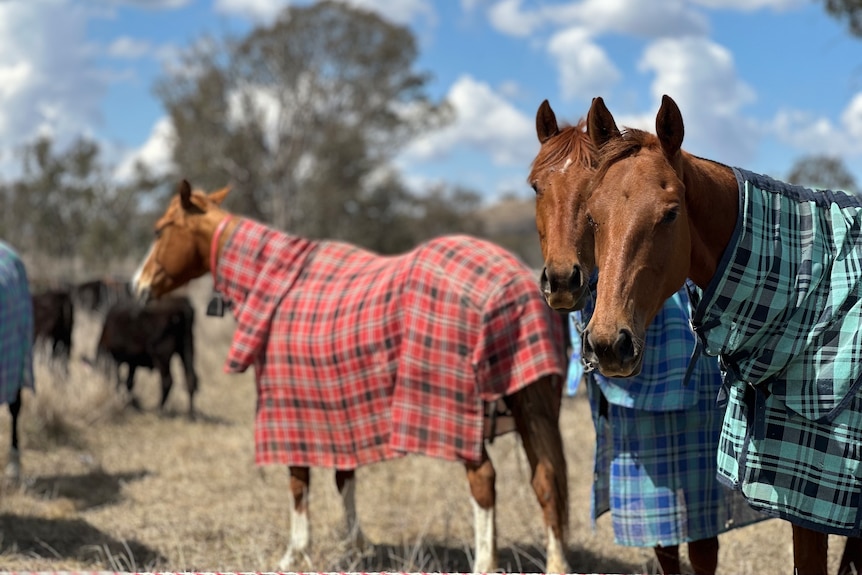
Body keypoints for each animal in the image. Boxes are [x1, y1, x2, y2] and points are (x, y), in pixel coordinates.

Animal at [130, 181, 572, 575]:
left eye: (159, 230)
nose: (138, 286)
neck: (273, 285)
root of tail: (516, 285)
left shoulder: (290, 417)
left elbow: (298, 484)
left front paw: (294, 553)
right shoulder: (339, 419)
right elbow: (346, 478)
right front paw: (355, 543)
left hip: (458, 415)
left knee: (484, 482)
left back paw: (484, 563)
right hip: (532, 404)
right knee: (547, 481)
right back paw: (557, 564)